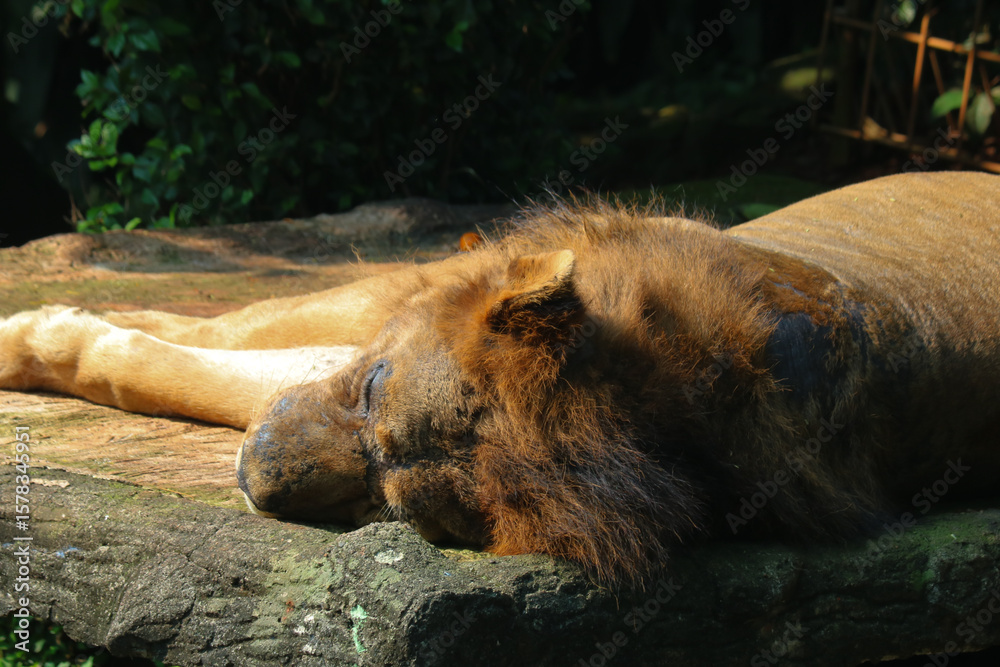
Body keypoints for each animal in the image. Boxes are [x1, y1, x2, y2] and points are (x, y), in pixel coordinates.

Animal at [2, 172, 999, 585]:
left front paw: (51, 332)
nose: (252, 478)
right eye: (373, 391)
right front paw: (41, 330)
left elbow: (191, 370)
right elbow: (210, 346)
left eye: (391, 511)